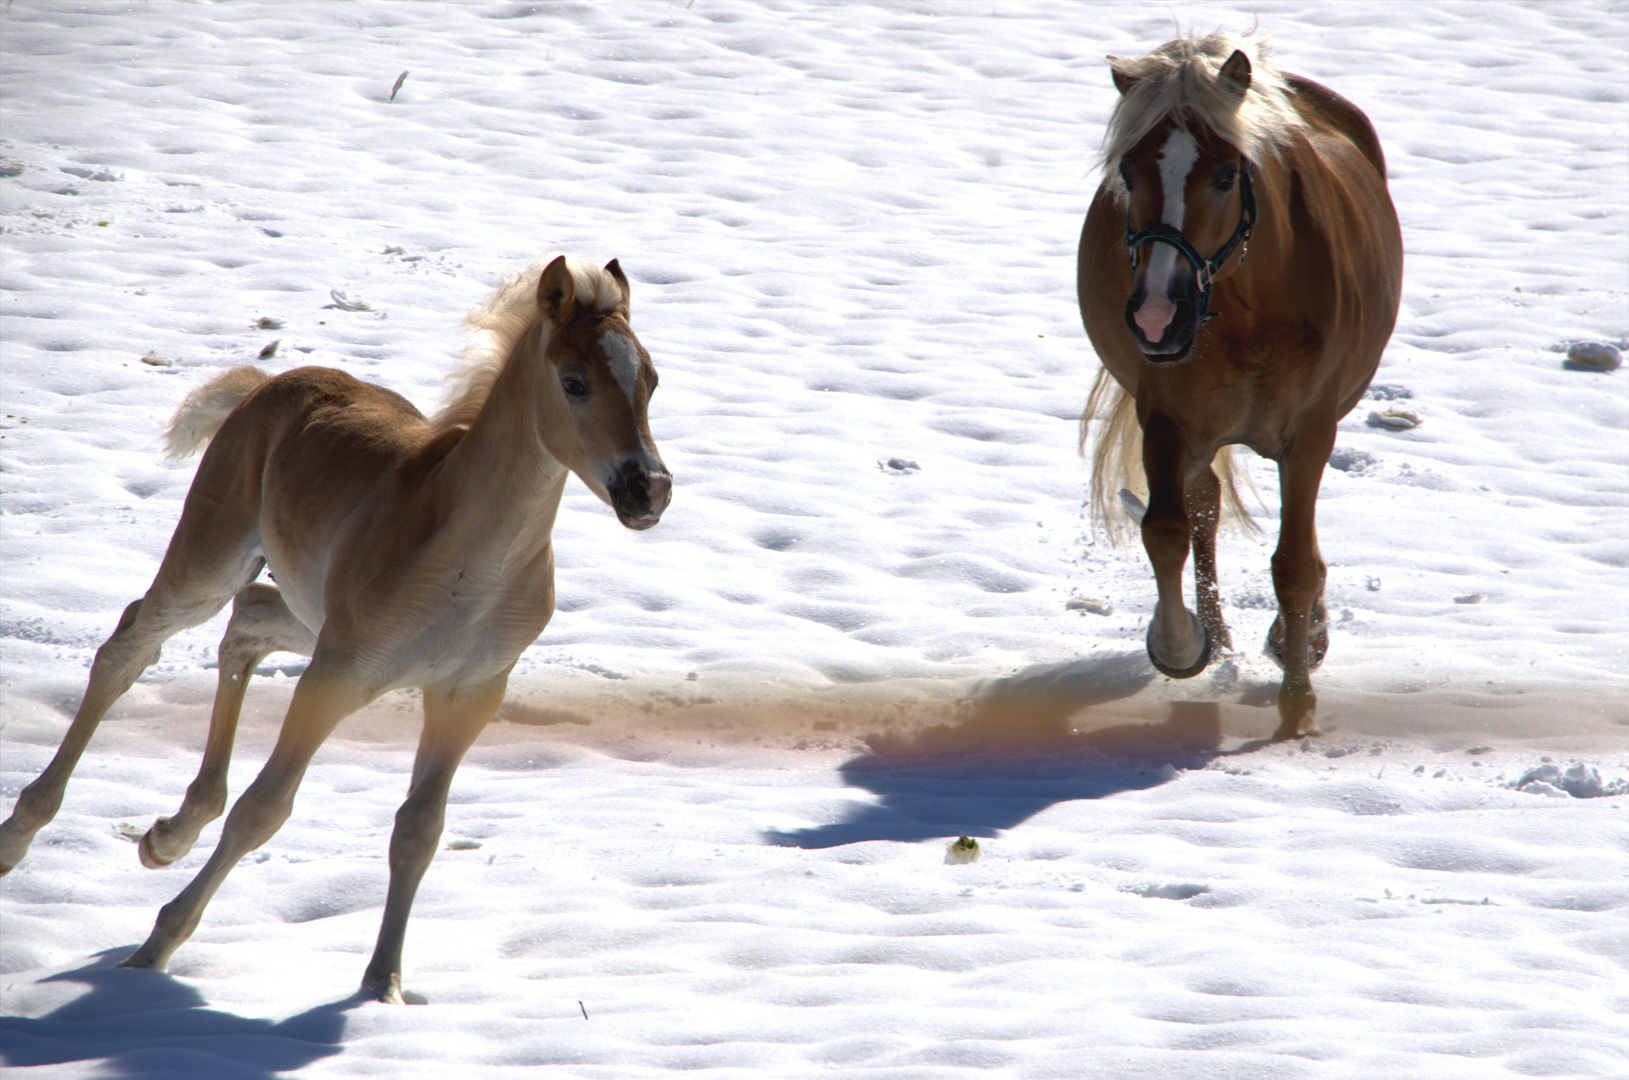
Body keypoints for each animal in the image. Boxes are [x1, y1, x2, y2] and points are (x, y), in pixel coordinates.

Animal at [0, 254, 671, 1003]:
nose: (648, 489)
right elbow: (265, 809)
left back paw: (172, 832)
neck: (477, 561)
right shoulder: (335, 676)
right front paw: (156, 946)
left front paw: (384, 986)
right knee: (130, 645)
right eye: (574, 382)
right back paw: (23, 836)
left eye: (650, 380)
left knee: (248, 622)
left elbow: (419, 832)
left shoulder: (469, 694)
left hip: (306, 612)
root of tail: (268, 383)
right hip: (213, 560)